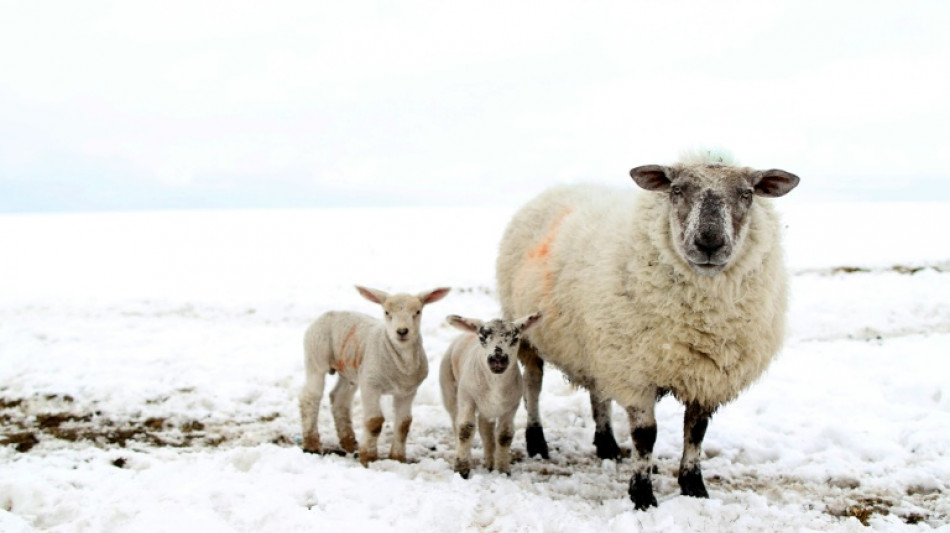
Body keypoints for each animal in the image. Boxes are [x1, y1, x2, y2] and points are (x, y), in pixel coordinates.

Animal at [300, 284, 452, 464]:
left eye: (417, 311)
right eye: (387, 312)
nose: (402, 331)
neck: (401, 364)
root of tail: (331, 312)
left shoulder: (408, 391)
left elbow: (404, 424)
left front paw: (397, 458)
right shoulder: (371, 385)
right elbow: (374, 422)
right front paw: (369, 457)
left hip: (351, 371)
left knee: (339, 398)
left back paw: (349, 443)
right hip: (316, 357)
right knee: (310, 397)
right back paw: (311, 444)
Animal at [498, 152, 804, 510]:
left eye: (747, 194)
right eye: (676, 191)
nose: (709, 243)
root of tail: (559, 188)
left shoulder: (705, 378)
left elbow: (695, 432)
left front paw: (693, 487)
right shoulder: (636, 373)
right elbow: (646, 436)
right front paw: (642, 494)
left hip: (598, 343)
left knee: (598, 392)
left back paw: (607, 445)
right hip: (529, 335)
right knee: (533, 386)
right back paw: (537, 441)